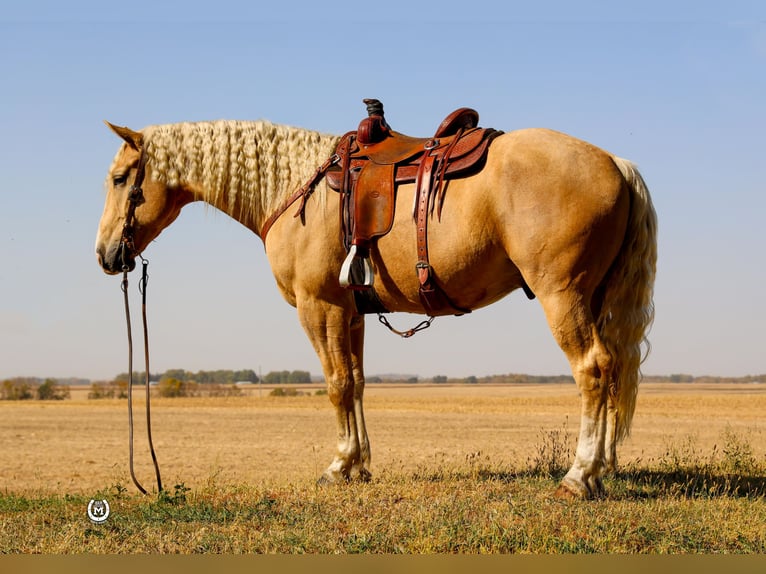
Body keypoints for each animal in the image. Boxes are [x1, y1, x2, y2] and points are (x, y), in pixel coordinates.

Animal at [95, 114, 657, 498]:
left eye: (121, 178)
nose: (105, 255)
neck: (297, 189)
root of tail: (617, 165)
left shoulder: (319, 307)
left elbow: (337, 384)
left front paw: (339, 465)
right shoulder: (352, 313)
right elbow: (358, 382)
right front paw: (360, 465)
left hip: (563, 295)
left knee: (592, 369)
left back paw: (579, 476)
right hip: (595, 298)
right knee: (612, 370)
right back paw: (604, 468)